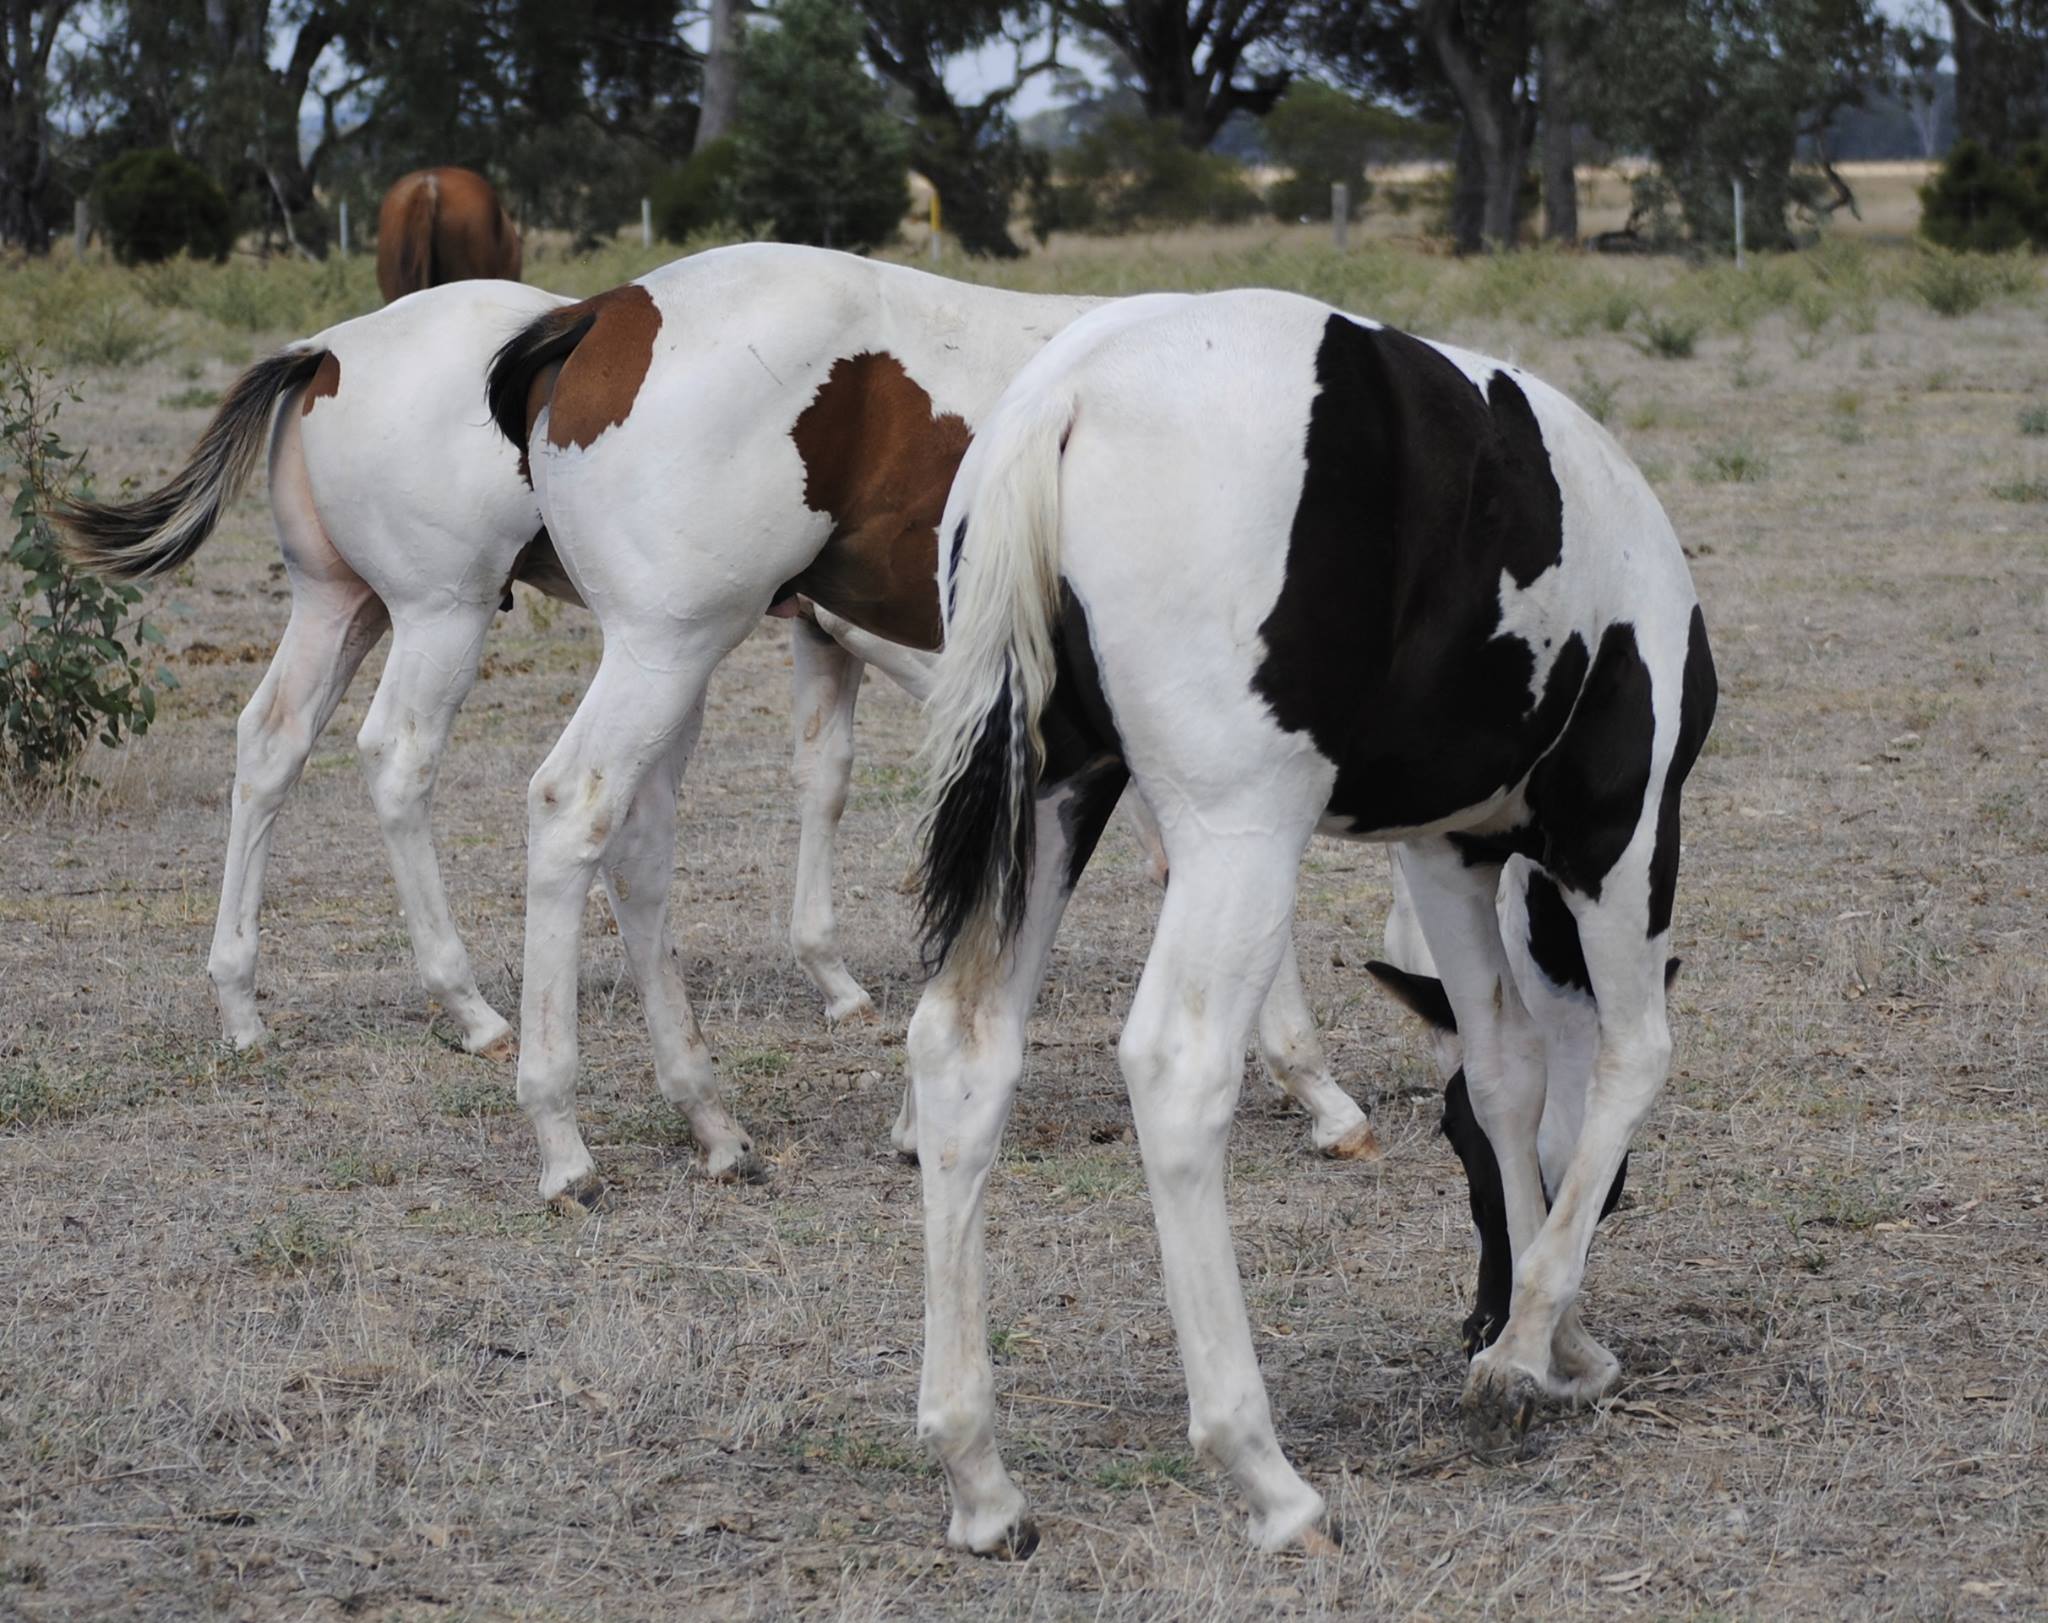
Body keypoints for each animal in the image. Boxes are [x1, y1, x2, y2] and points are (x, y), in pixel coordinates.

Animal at [913, 290, 1712, 1557]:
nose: (1478, 1317)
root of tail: (1065, 398)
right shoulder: (1621, 835)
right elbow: (1629, 1061)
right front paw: (1534, 1342)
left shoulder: (1447, 852)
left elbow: (1505, 1073)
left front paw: (1540, 1342)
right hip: (1238, 835)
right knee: (1177, 1070)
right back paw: (1264, 1475)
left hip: (1055, 801)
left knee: (962, 1055)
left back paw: (978, 1478)